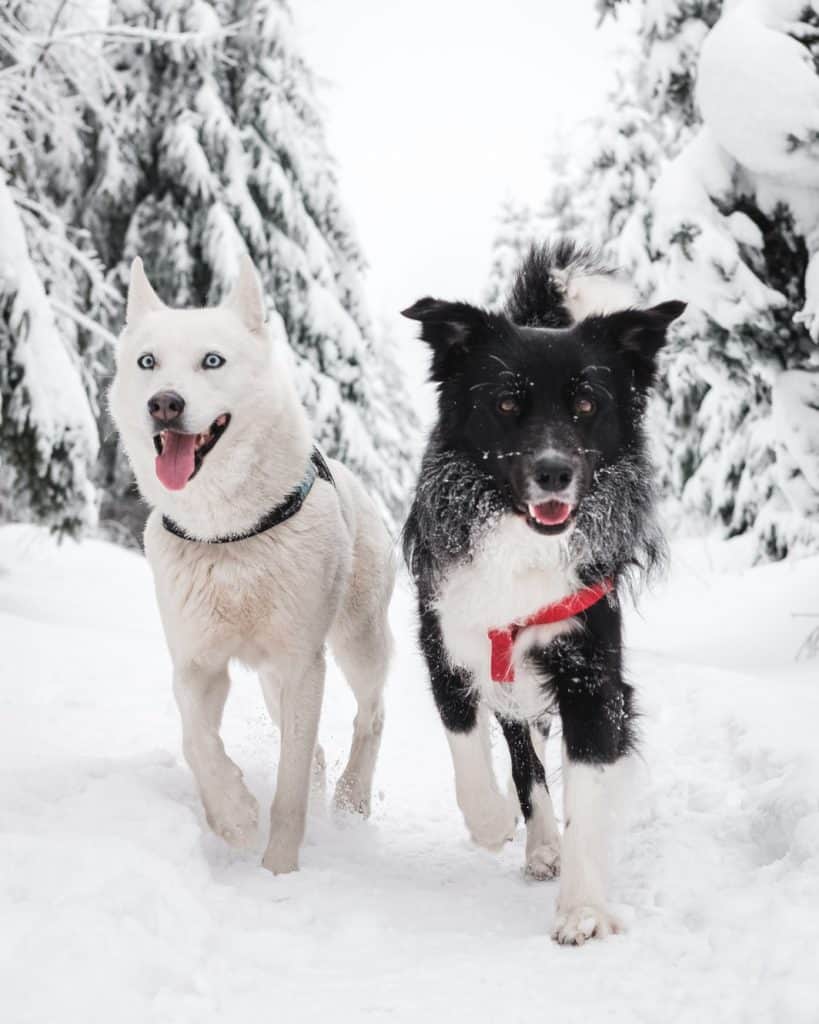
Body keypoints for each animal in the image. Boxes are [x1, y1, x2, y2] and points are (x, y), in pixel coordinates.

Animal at [108, 256, 397, 872]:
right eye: (147, 362)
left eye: (212, 360)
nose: (164, 402)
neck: (228, 534)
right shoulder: (196, 663)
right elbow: (196, 740)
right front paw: (235, 815)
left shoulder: (302, 664)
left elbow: (289, 788)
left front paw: (279, 869)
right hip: (270, 680)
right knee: (315, 750)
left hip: (357, 642)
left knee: (371, 713)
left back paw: (351, 799)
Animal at [403, 239, 683, 942]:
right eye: (506, 404)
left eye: (586, 405)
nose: (554, 473)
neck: (520, 544)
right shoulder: (447, 644)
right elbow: (471, 746)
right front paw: (494, 821)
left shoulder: (590, 675)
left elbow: (588, 786)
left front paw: (583, 908)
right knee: (523, 756)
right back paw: (535, 840)